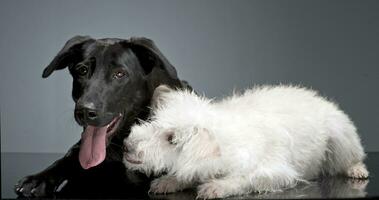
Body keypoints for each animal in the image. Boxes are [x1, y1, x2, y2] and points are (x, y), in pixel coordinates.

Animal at [123, 84, 370, 198]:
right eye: (153, 122)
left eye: (171, 138)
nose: (127, 146)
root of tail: (320, 98)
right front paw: (170, 180)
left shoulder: (277, 172)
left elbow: (246, 178)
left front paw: (217, 186)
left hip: (341, 135)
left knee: (353, 157)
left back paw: (357, 169)